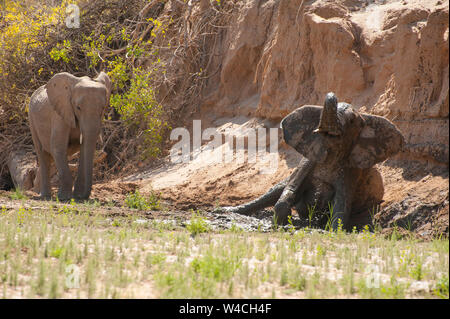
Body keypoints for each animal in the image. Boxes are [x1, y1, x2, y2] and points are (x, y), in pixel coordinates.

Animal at [28, 72, 111, 201]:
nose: (83, 197)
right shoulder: (59, 115)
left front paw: (77, 196)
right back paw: (44, 196)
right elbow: (58, 147)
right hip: (32, 119)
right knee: (42, 154)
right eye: (78, 108)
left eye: (103, 108)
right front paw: (64, 197)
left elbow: (84, 149)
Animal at [218, 92, 404, 230]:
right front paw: (283, 223)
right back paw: (227, 210)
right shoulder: (309, 158)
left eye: (352, 121)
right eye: (320, 114)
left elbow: (341, 207)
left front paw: (332, 231)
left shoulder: (351, 172)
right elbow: (289, 191)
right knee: (274, 190)